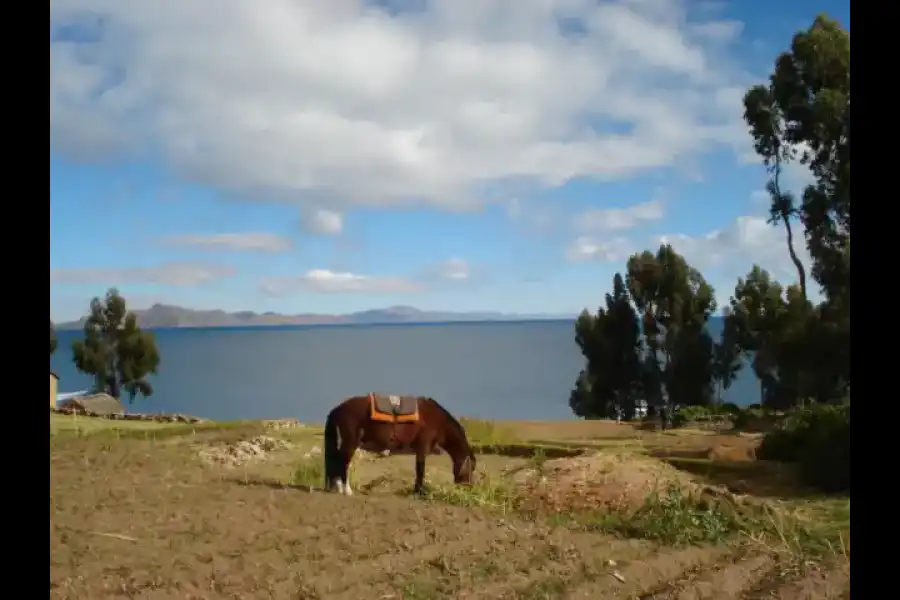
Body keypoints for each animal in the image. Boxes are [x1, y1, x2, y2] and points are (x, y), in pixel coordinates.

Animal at [324, 392, 478, 494]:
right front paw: (419, 492)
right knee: (342, 462)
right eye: (471, 468)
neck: (438, 419)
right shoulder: (422, 446)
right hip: (350, 442)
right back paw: (347, 490)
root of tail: (338, 409)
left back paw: (338, 488)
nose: (469, 487)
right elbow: (420, 469)